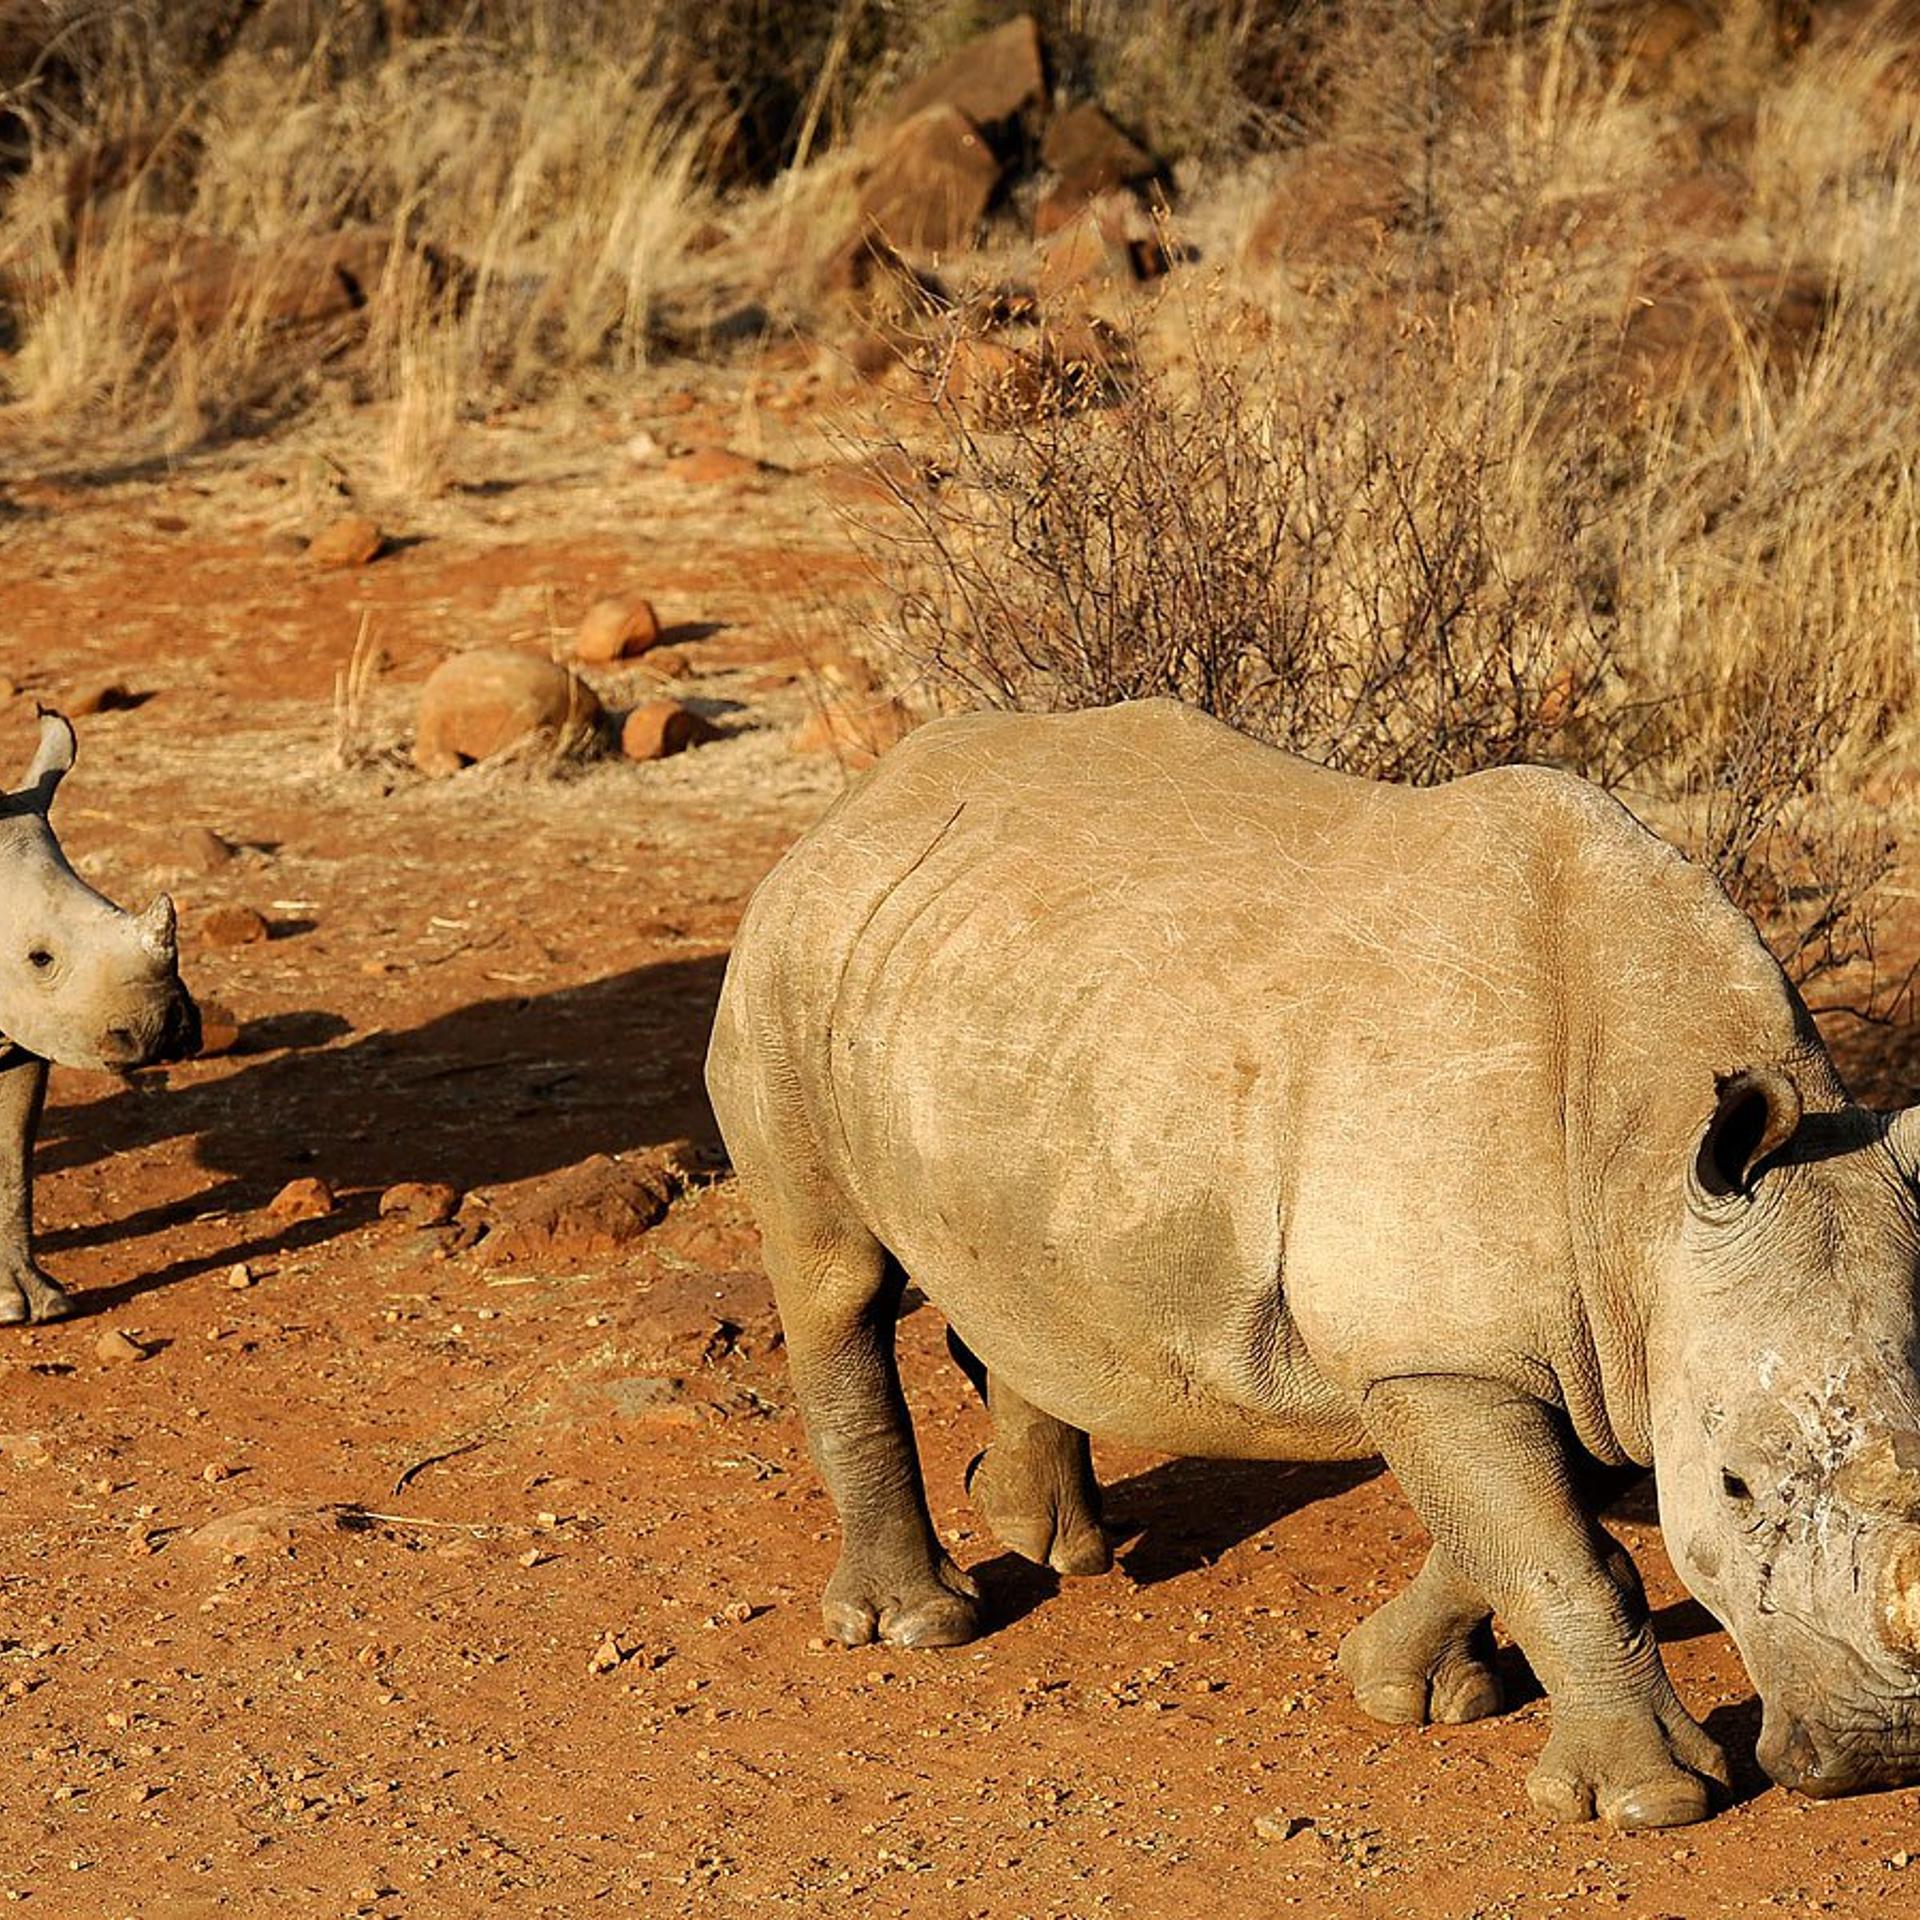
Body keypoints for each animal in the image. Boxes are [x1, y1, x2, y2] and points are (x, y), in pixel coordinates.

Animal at [707, 697, 1920, 1829]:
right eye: (1735, 1488)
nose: (1884, 1758)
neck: (1649, 1177)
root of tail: (852, 805)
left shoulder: (1579, 1338)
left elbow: (1513, 1529)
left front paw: (1403, 1692)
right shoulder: (1444, 1354)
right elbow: (1557, 1556)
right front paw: (1648, 1803)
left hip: (996, 994)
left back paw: (1054, 1543)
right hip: (792, 958)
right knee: (835, 1274)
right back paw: (921, 1625)